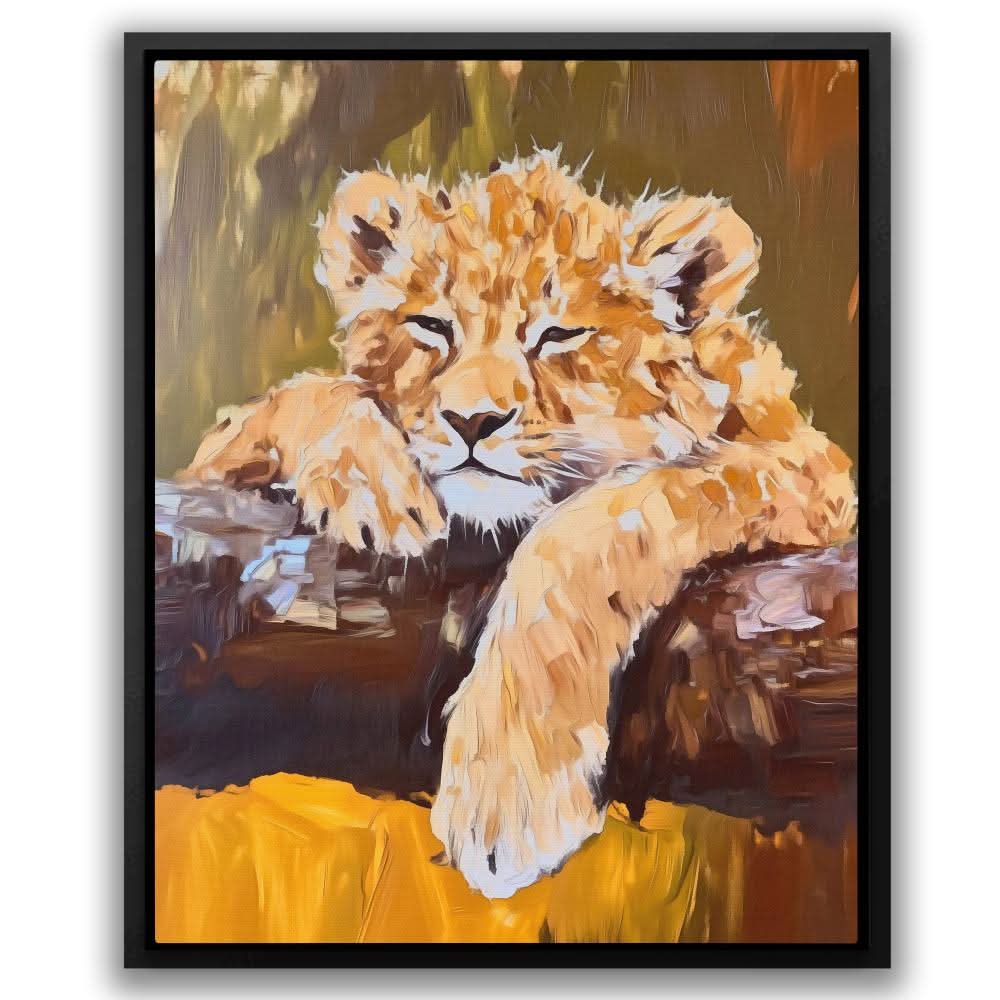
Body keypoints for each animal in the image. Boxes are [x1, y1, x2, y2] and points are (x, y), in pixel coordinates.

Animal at [182, 149, 856, 898]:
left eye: (558, 334)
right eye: (432, 327)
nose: (471, 420)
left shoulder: (812, 474)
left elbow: (607, 516)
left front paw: (508, 799)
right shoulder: (207, 469)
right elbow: (301, 395)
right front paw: (374, 486)